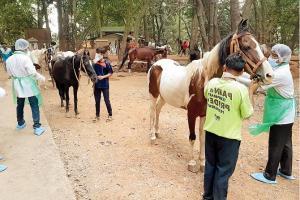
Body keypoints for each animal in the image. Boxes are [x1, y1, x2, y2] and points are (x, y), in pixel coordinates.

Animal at [146, 19, 274, 172]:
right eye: (247, 46)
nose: (269, 75)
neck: (202, 79)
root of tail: (157, 63)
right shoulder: (191, 113)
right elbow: (193, 136)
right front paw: (192, 163)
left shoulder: (204, 113)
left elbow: (202, 137)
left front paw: (202, 162)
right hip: (153, 94)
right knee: (152, 111)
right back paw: (152, 136)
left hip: (165, 97)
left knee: (158, 109)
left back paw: (157, 132)